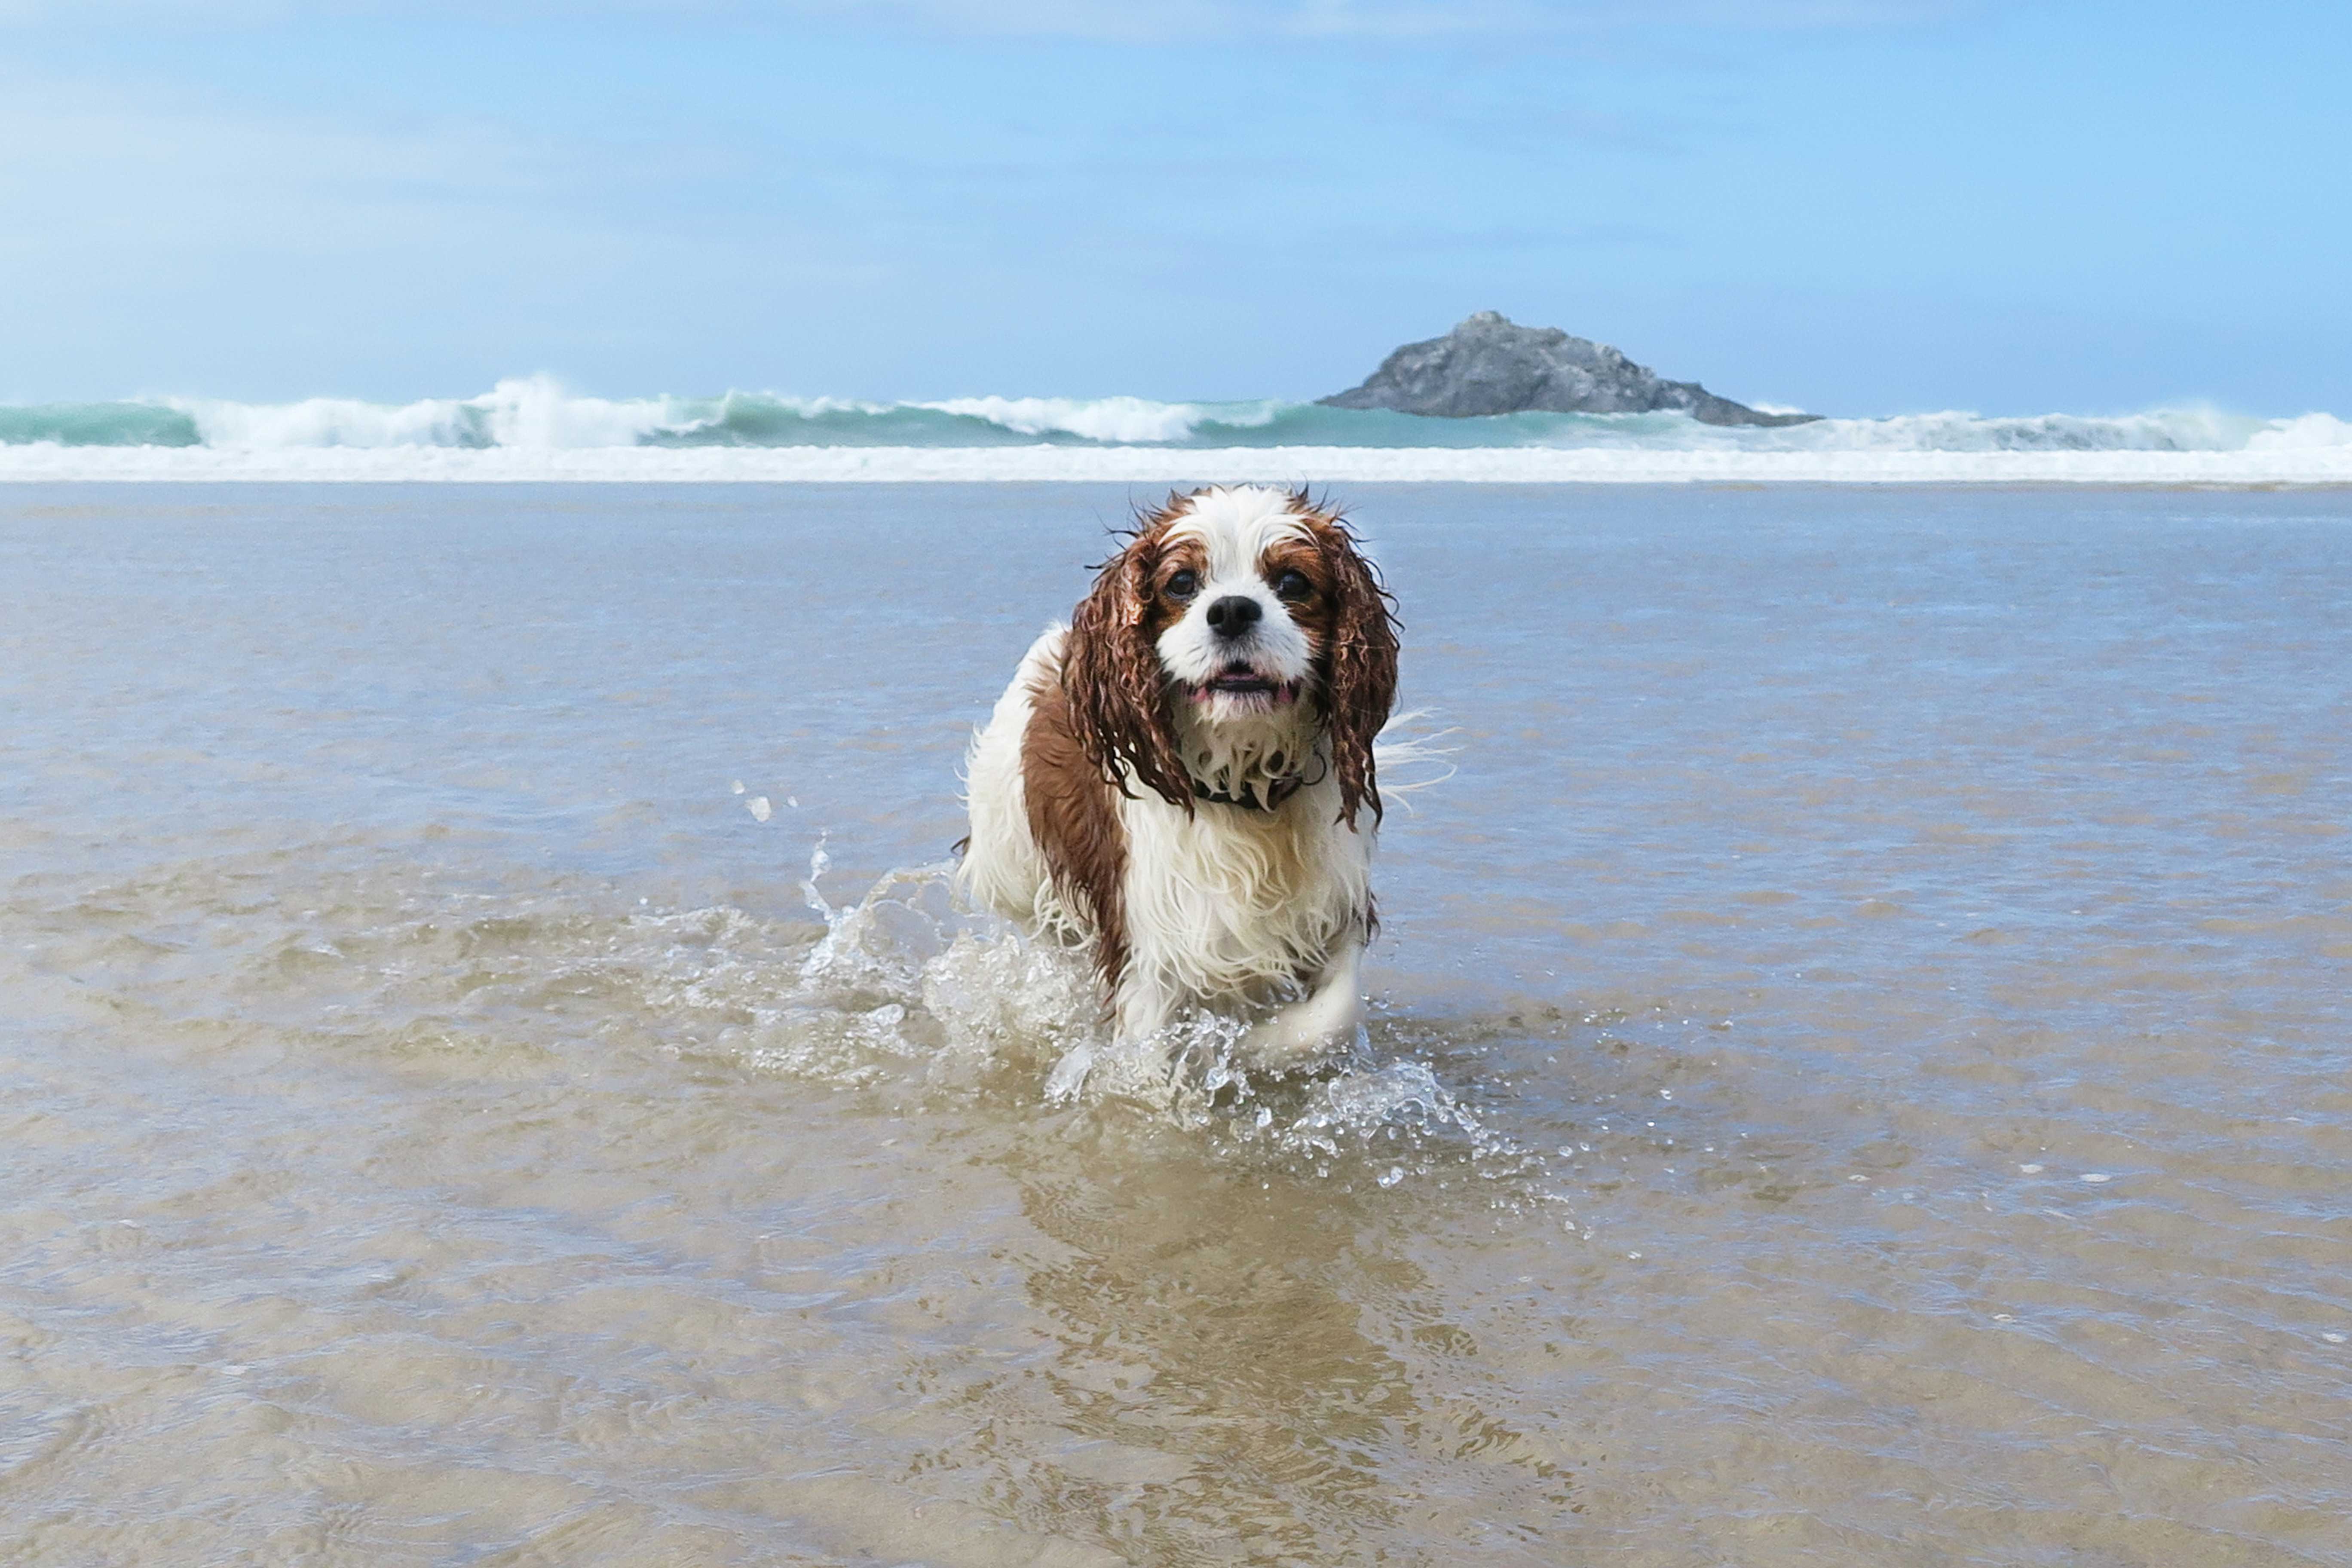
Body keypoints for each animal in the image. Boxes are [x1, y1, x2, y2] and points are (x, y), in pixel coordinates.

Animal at [955, 484, 1392, 1072]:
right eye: (1182, 582)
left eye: (1293, 582)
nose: (1232, 610)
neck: (1242, 784)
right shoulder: (1151, 949)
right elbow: (1146, 1057)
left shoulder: (1339, 906)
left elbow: (1330, 1018)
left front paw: (1247, 1045)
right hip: (1014, 866)